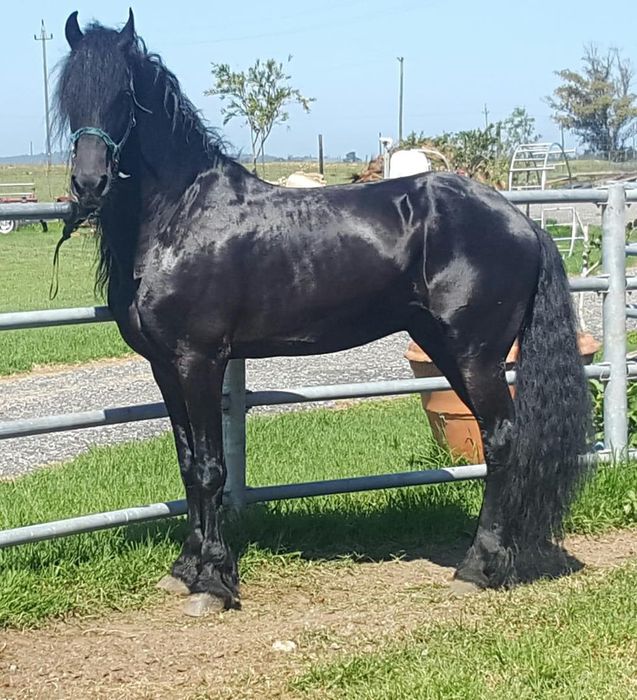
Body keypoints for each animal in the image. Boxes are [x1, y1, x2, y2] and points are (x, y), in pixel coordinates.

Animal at [55, 10, 591, 616]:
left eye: (124, 94)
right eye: (70, 94)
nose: (89, 182)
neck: (182, 217)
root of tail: (523, 222)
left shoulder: (200, 361)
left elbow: (212, 469)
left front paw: (214, 582)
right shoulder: (165, 367)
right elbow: (188, 466)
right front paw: (185, 570)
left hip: (476, 354)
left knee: (501, 439)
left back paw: (477, 567)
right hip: (447, 348)